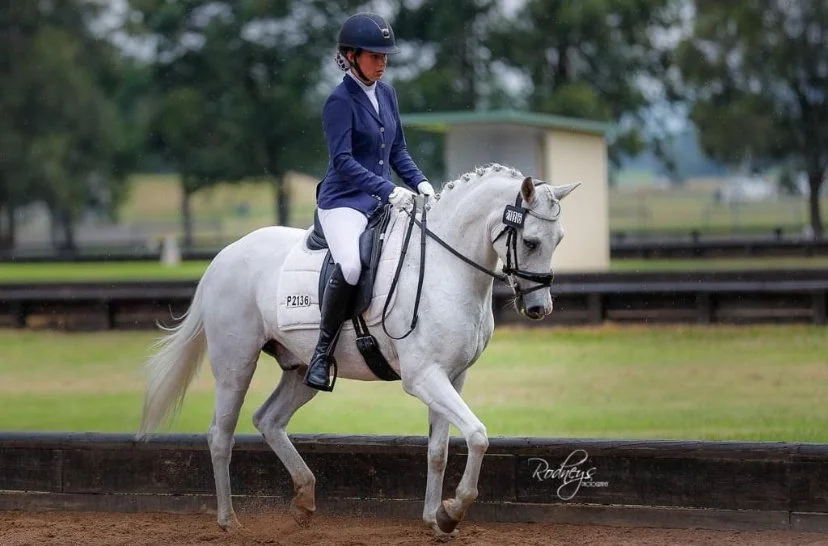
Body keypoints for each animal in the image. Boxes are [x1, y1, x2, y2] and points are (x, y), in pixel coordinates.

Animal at [137, 163, 579, 538]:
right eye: (530, 241)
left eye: (559, 240)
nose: (539, 309)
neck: (445, 266)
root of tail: (223, 257)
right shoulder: (424, 377)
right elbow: (478, 435)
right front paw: (453, 512)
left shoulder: (452, 376)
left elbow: (438, 449)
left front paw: (433, 518)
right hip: (235, 364)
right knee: (220, 435)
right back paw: (229, 520)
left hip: (301, 371)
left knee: (269, 420)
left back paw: (304, 500)